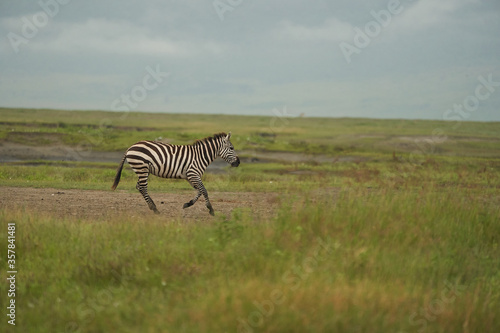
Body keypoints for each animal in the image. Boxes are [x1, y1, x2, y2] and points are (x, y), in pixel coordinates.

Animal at [112, 132, 240, 215]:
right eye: (231, 148)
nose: (238, 162)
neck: (200, 156)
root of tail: (130, 147)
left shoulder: (190, 176)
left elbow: (199, 191)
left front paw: (188, 204)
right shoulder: (193, 174)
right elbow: (204, 190)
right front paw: (211, 209)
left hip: (143, 170)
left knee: (139, 186)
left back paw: (153, 207)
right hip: (142, 167)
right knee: (143, 187)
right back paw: (155, 209)